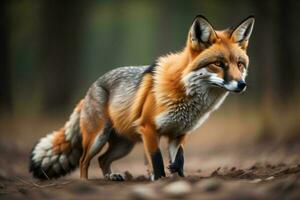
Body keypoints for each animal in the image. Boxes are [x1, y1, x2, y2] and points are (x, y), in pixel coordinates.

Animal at [29, 15, 255, 180]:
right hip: (98, 138)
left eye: (239, 65)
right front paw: (161, 180)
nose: (242, 85)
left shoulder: (178, 134)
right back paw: (85, 184)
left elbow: (179, 161)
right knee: (84, 161)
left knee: (102, 160)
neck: (185, 96)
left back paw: (112, 177)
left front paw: (179, 179)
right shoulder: (149, 129)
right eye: (219, 64)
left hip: (124, 146)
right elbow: (157, 162)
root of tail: (89, 91)